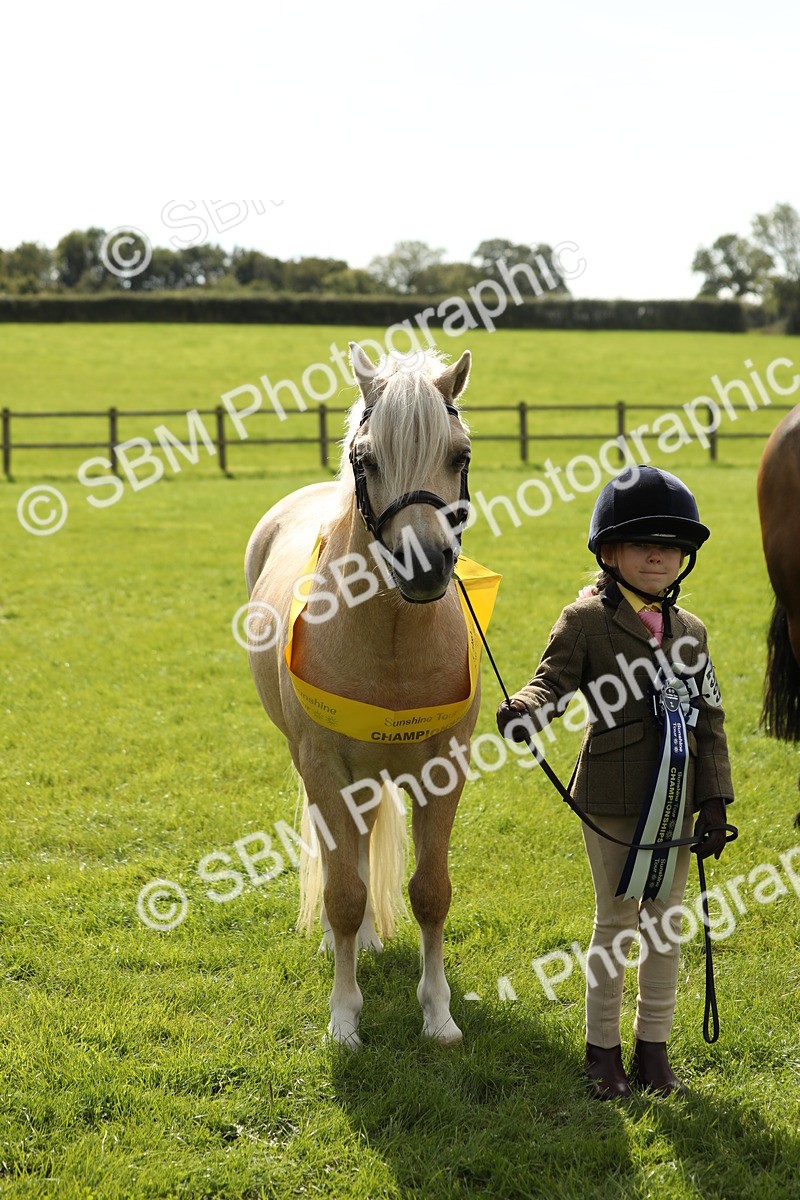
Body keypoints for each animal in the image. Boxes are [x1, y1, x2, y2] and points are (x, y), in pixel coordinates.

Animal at [244, 343, 482, 1048]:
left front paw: (438, 1015)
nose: (423, 566)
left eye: (459, 454)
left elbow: (431, 891)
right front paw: (344, 1019)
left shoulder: (443, 771)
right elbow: (343, 892)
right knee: (340, 861)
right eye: (366, 459)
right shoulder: (325, 769)